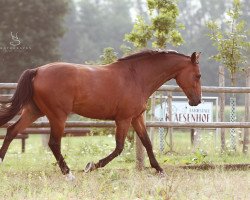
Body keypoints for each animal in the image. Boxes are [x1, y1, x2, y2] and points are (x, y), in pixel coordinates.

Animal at [0, 49, 201, 180]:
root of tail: (37, 71)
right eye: (198, 75)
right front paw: (91, 166)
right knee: (53, 143)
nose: (197, 101)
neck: (137, 77)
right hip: (57, 116)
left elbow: (147, 143)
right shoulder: (123, 119)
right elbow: (119, 148)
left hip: (34, 111)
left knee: (11, 131)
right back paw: (69, 174)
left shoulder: (136, 118)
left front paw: (159, 170)